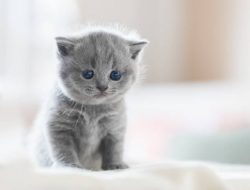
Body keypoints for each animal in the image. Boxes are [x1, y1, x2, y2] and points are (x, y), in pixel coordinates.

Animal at [30, 25, 147, 171]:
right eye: (88, 74)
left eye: (115, 75)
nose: (102, 87)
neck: (93, 111)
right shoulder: (58, 126)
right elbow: (63, 150)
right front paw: (69, 166)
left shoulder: (115, 128)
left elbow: (115, 149)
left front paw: (115, 165)